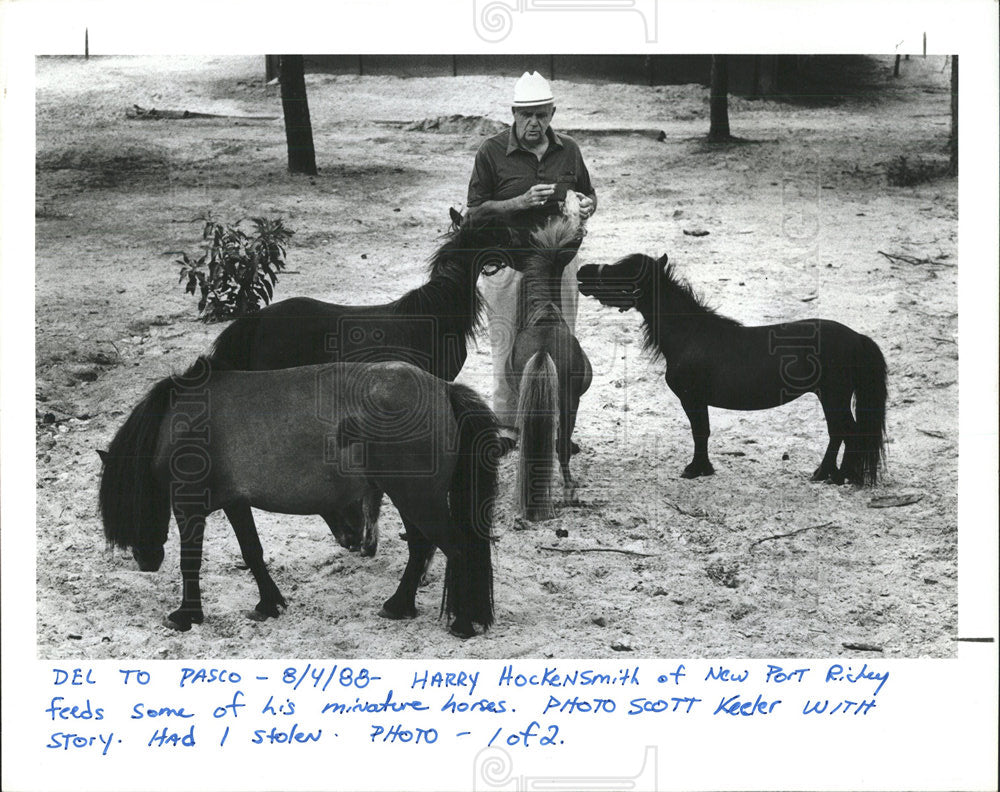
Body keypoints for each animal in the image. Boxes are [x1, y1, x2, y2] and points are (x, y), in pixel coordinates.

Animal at [100, 358, 500, 636]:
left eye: (127, 504)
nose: (145, 561)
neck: (180, 422)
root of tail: (443, 390)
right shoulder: (236, 503)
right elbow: (252, 552)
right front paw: (268, 604)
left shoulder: (189, 506)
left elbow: (190, 562)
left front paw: (187, 616)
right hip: (410, 498)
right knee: (421, 548)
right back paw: (399, 605)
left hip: (416, 498)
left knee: (458, 548)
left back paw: (462, 623)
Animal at [580, 255, 892, 488]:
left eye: (624, 271)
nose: (582, 272)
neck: (690, 335)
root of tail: (857, 338)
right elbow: (703, 432)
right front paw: (703, 468)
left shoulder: (692, 399)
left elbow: (699, 432)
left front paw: (695, 469)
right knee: (841, 433)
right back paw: (828, 474)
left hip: (833, 396)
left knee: (846, 432)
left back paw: (837, 476)